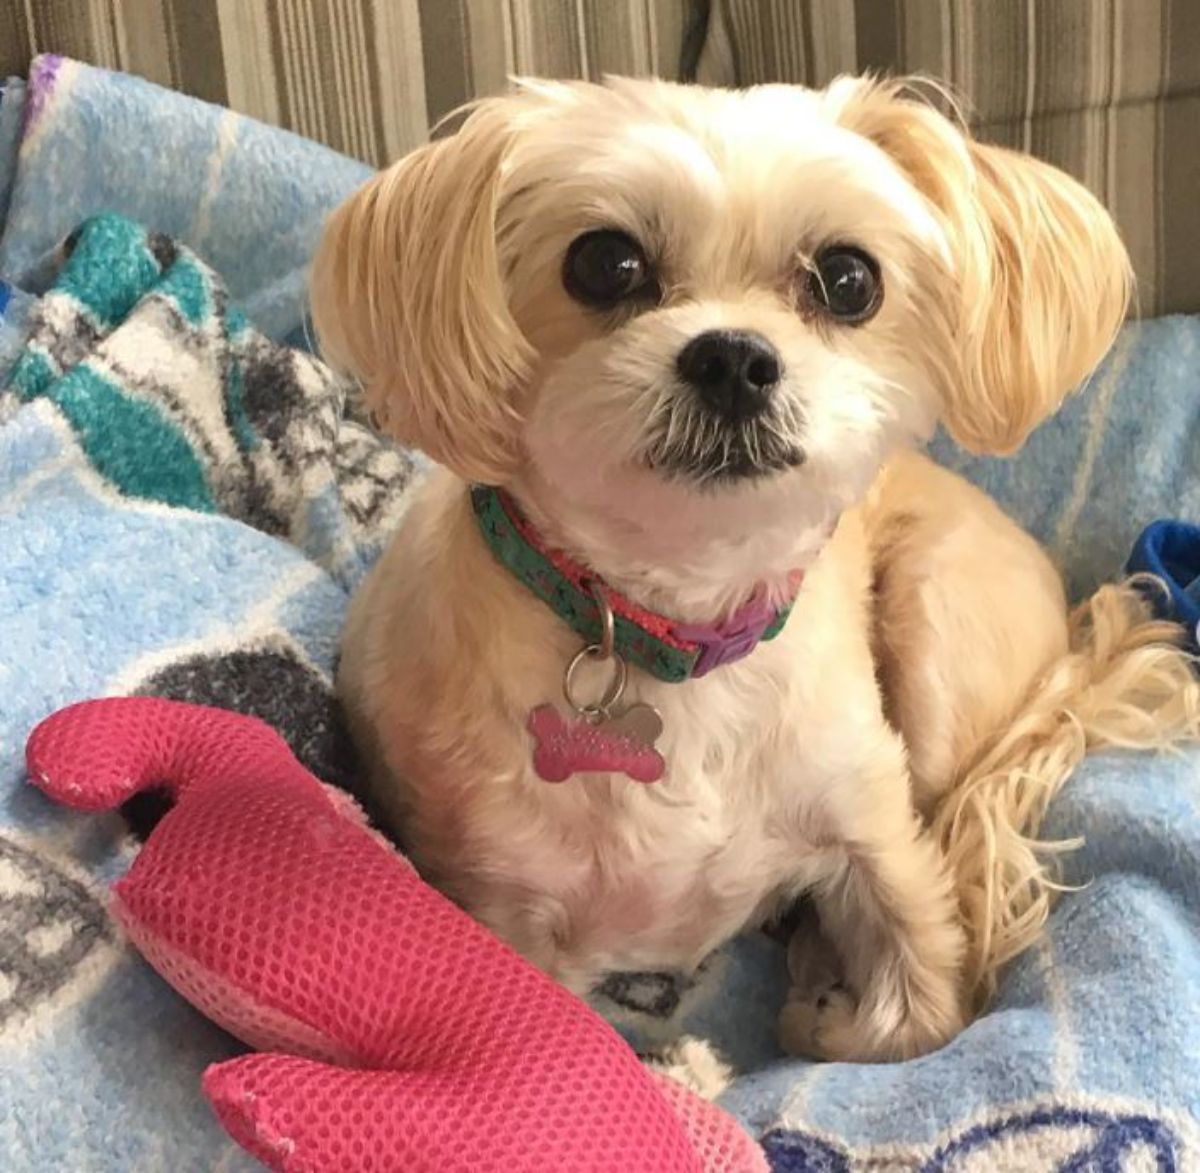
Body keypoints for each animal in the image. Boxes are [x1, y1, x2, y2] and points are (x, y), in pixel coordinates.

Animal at [307, 73, 1190, 1060]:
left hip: (936, 636)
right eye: (604, 262)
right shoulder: (501, 908)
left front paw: (828, 1010)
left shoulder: (875, 827)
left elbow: (918, 1011)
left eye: (848, 279)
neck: (675, 627)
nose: (732, 357)